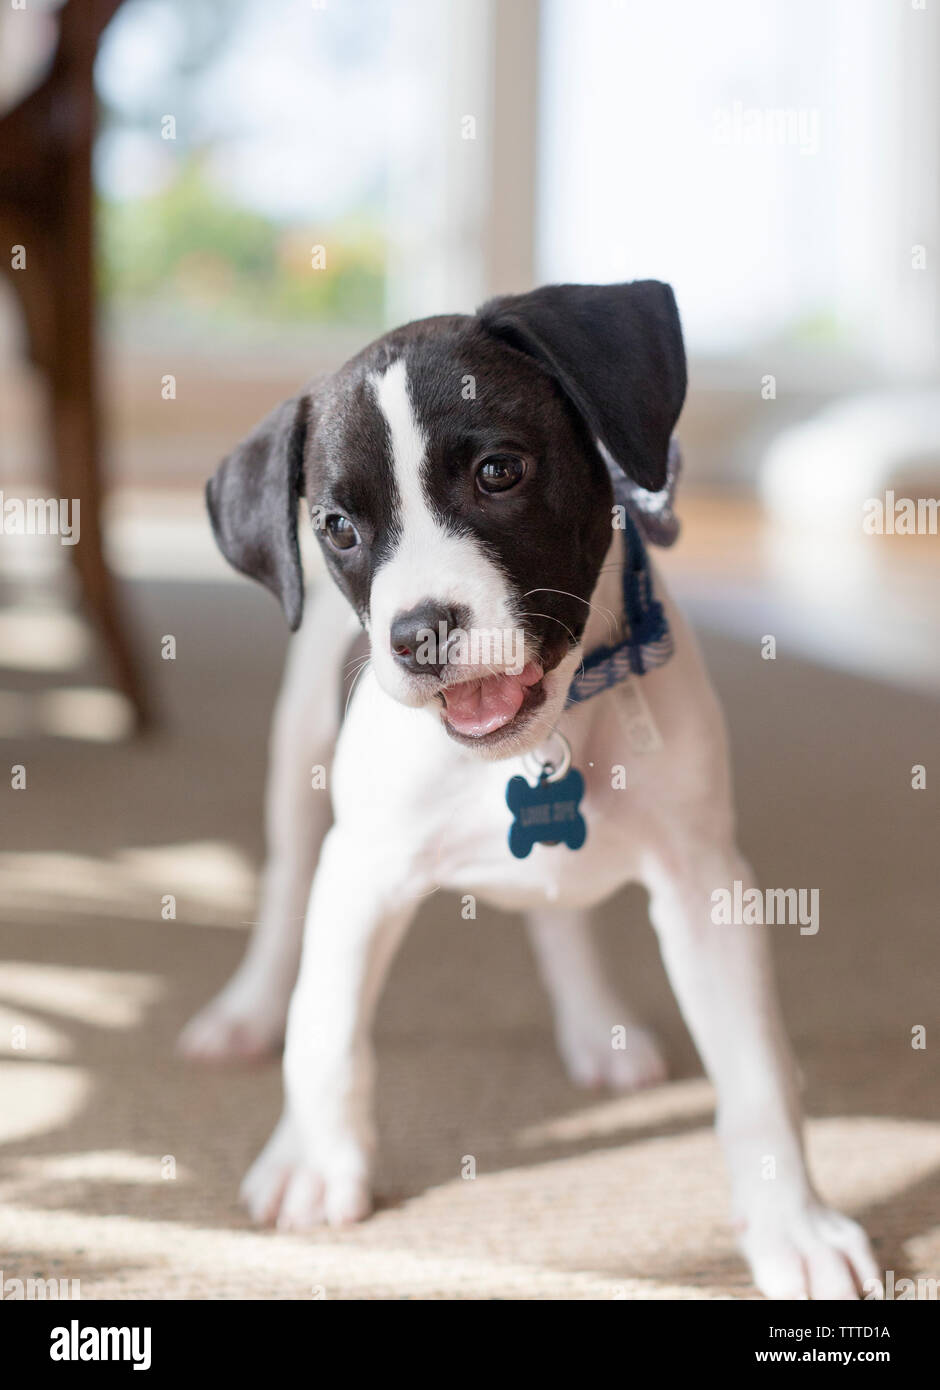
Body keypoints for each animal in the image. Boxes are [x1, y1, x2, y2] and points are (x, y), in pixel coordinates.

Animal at [184, 282, 878, 1301]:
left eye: (500, 472)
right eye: (339, 528)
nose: (419, 633)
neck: (536, 745)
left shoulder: (707, 885)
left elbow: (756, 1072)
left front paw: (794, 1223)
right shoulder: (363, 872)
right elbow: (326, 1024)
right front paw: (314, 1162)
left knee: (560, 916)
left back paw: (598, 1028)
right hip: (300, 764)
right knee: (283, 896)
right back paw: (245, 1011)